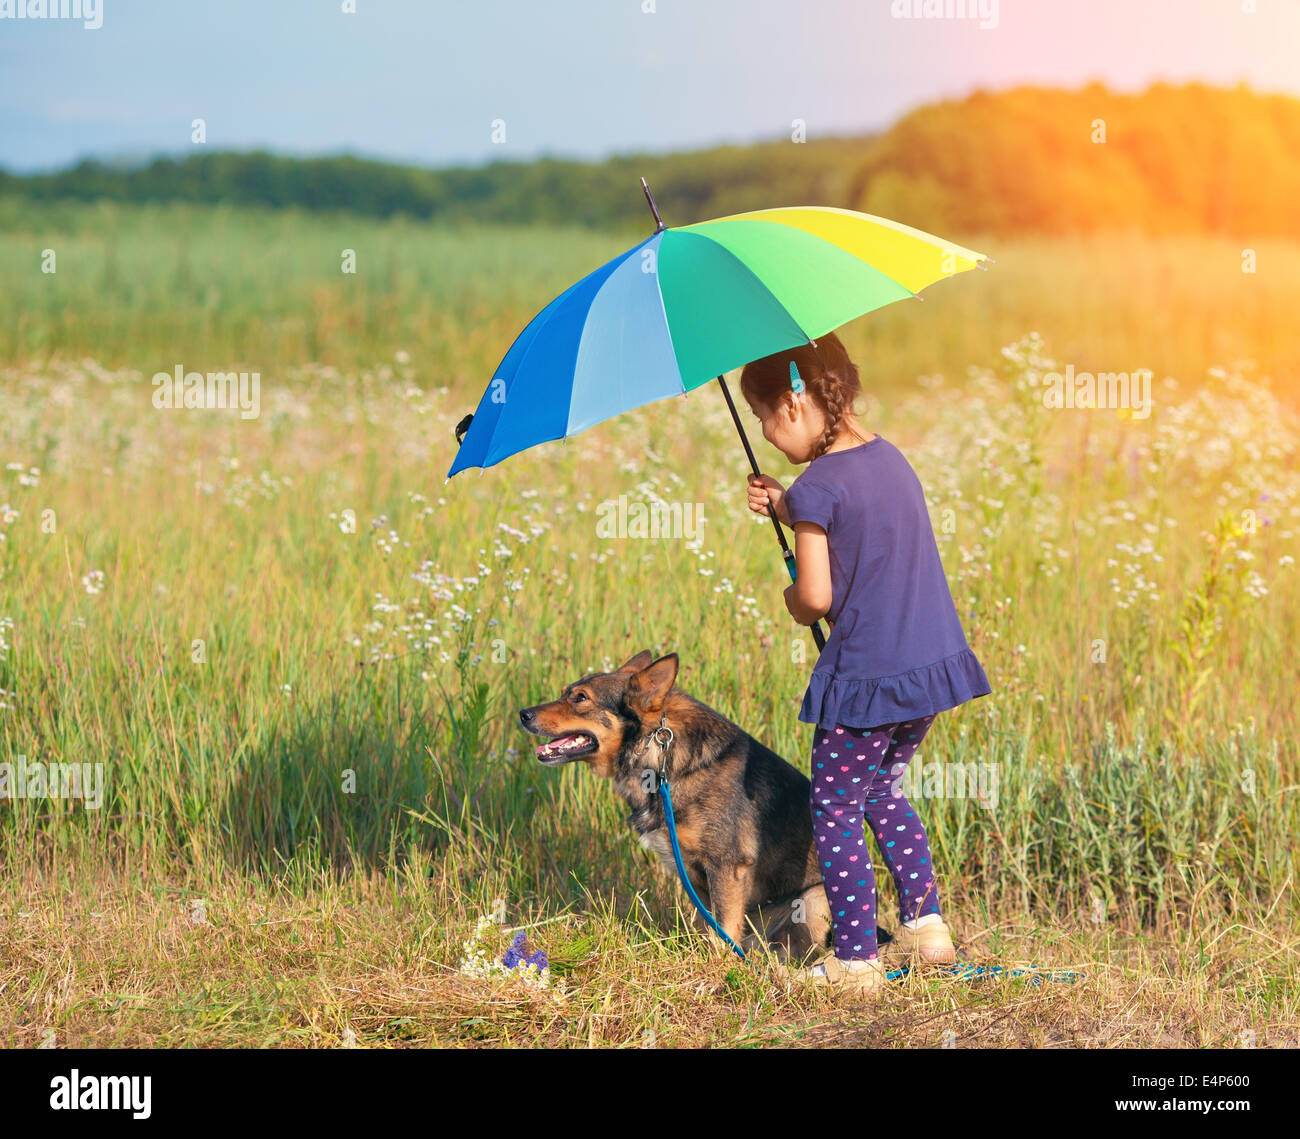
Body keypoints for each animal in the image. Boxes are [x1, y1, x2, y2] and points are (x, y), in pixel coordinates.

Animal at [520, 650, 832, 962]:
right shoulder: (693, 874)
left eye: (581, 698)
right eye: (564, 693)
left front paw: (719, 965)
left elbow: (724, 928)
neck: (656, 755)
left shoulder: (727, 866)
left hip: (812, 898)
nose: (523, 714)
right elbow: (709, 926)